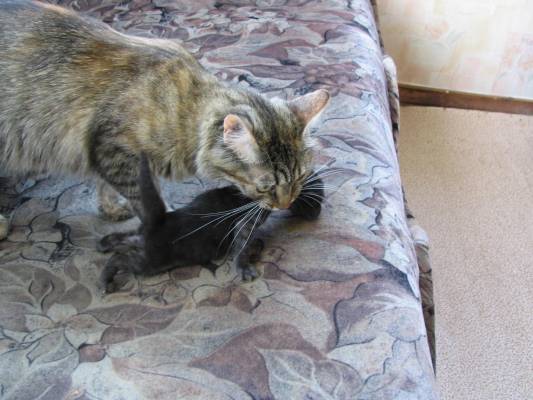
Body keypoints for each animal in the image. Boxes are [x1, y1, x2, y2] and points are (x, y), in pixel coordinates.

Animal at [0, 1, 329, 239]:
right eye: (266, 187)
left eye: (300, 177)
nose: (285, 204)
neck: (183, 107)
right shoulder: (115, 153)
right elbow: (149, 202)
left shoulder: (101, 154)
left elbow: (103, 184)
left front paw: (110, 208)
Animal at [98, 154, 325, 293]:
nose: (317, 214)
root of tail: (159, 220)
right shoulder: (249, 219)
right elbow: (242, 242)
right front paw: (245, 266)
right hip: (151, 261)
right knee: (121, 259)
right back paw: (106, 277)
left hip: (140, 241)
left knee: (125, 239)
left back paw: (106, 242)